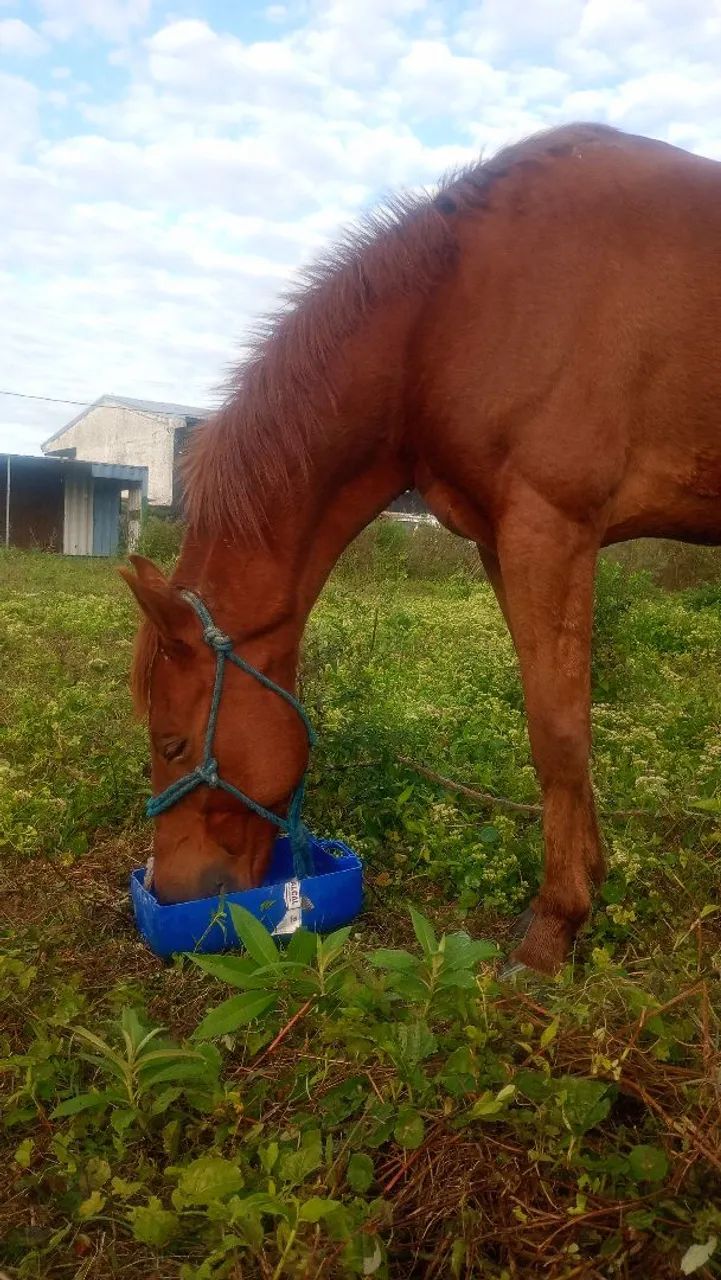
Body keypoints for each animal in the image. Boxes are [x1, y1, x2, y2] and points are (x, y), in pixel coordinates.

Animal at [121, 122, 721, 976]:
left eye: (171, 743)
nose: (169, 892)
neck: (453, 310)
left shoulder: (551, 527)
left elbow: (558, 732)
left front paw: (552, 927)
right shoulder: (504, 544)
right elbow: (554, 719)